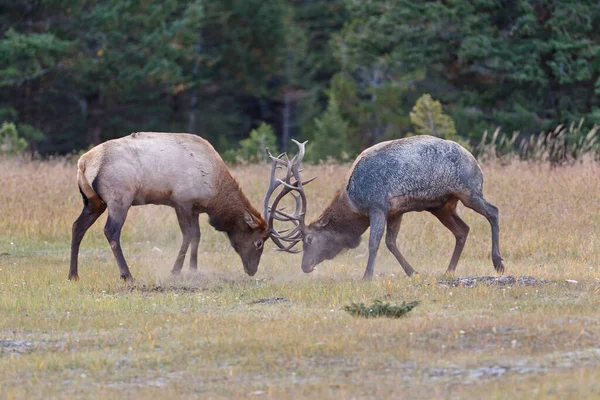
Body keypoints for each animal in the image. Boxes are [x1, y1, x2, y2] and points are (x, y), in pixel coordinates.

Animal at [69, 132, 268, 282]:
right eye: (258, 242)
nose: (252, 270)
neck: (214, 189)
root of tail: (83, 162)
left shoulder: (194, 208)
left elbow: (197, 236)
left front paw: (193, 270)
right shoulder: (181, 201)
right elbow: (188, 235)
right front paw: (175, 271)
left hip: (93, 202)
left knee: (77, 226)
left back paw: (73, 275)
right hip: (119, 199)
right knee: (111, 231)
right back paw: (127, 275)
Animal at [264, 136, 504, 280]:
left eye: (309, 239)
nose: (305, 266)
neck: (353, 201)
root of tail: (473, 159)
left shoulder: (377, 206)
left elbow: (374, 243)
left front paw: (367, 276)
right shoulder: (395, 211)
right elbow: (390, 242)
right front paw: (412, 272)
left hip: (469, 190)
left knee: (493, 211)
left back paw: (498, 263)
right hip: (442, 206)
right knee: (463, 230)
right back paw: (449, 270)